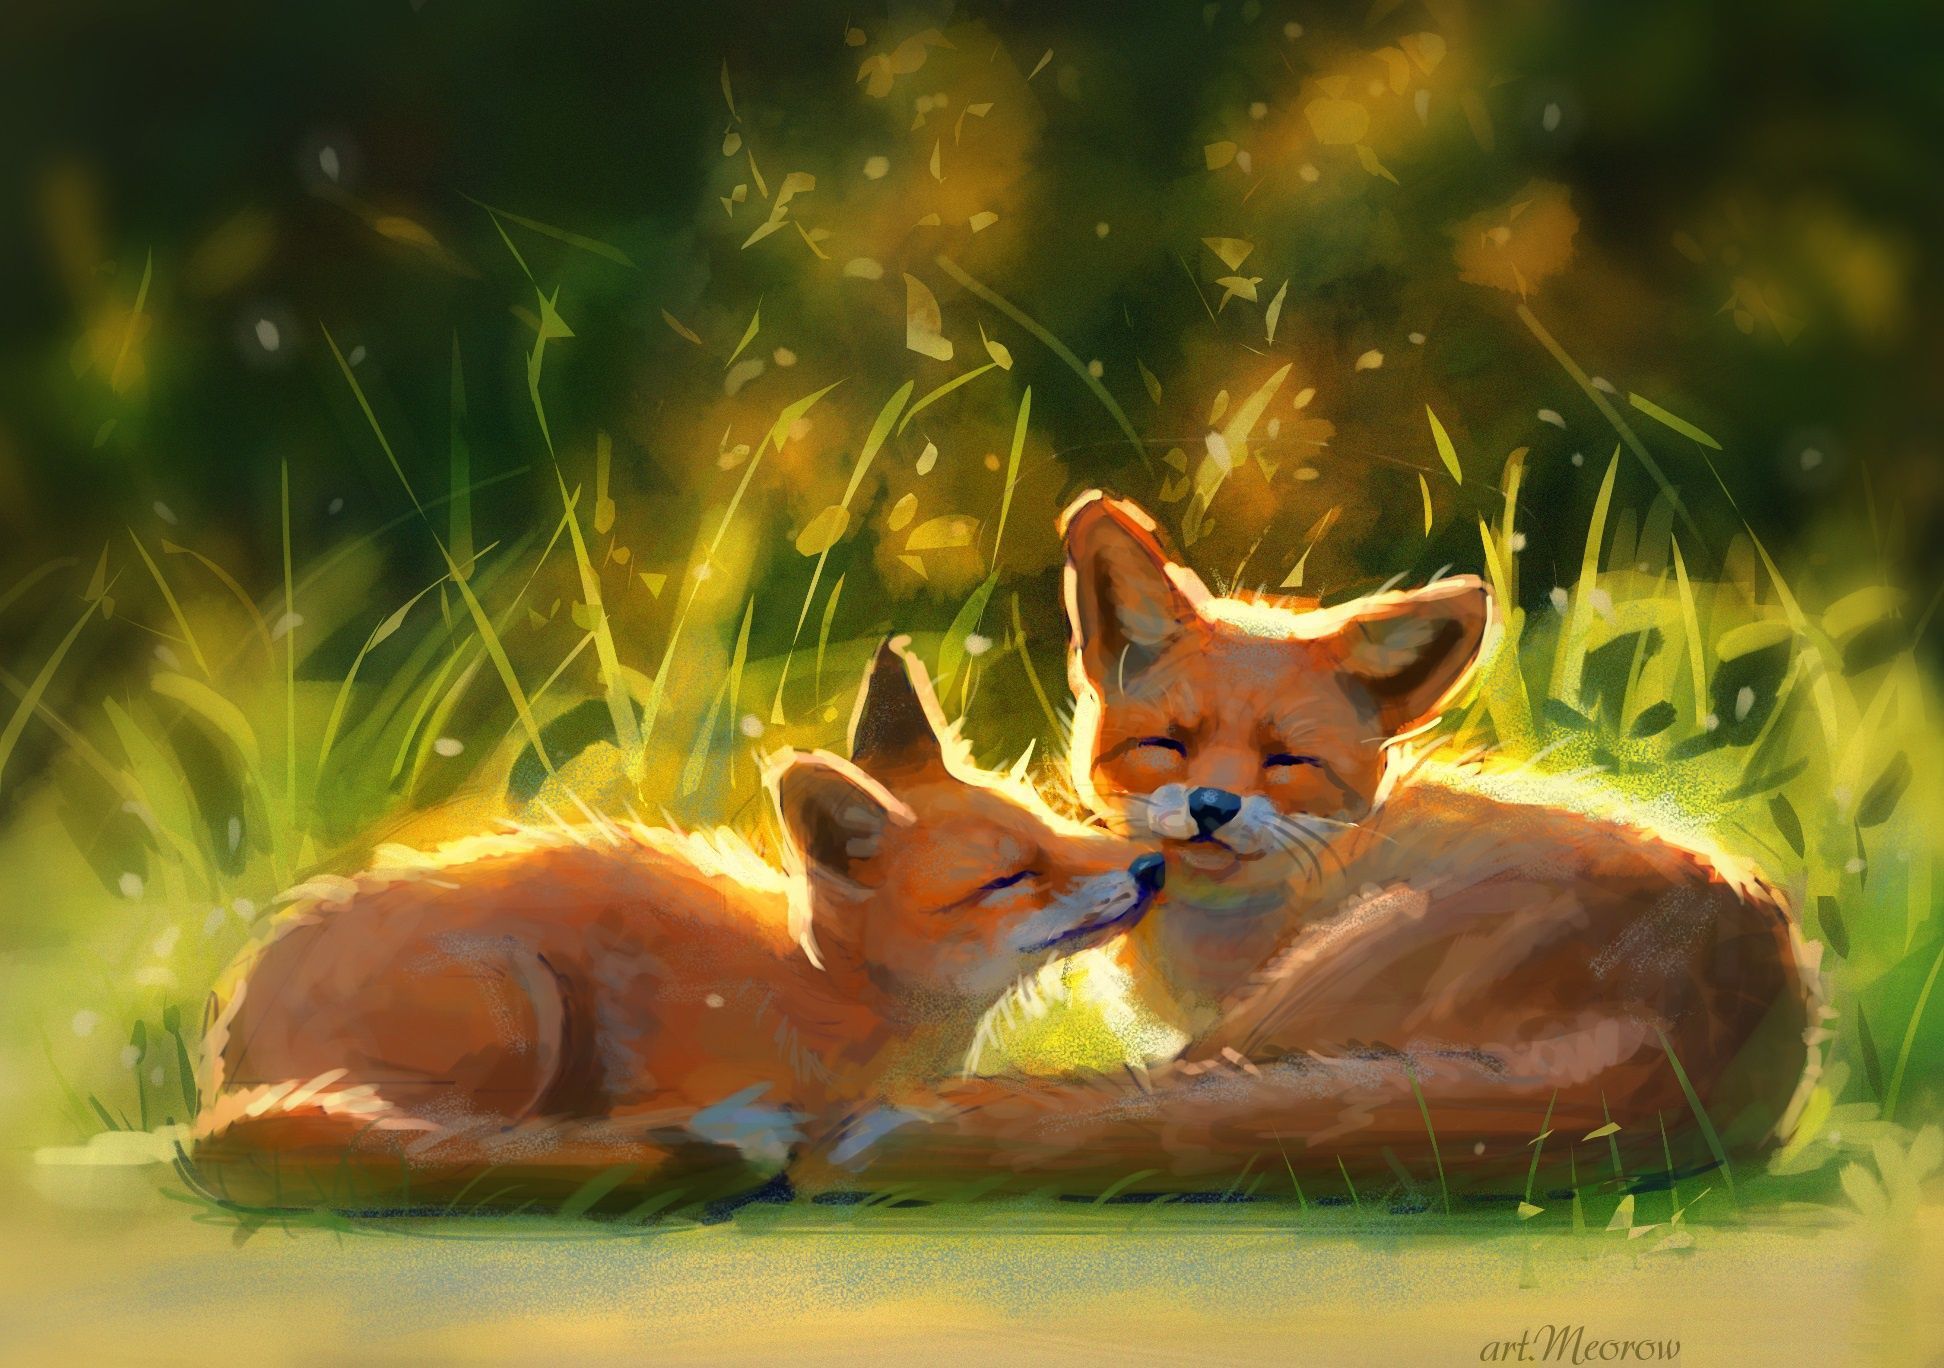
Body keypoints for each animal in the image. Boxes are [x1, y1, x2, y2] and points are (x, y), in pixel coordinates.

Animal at [189, 637, 1164, 1211]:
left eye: (1058, 829)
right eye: (1010, 877)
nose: (1152, 866)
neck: (824, 1000)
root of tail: (220, 1065)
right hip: (521, 1004)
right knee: (462, 1148)